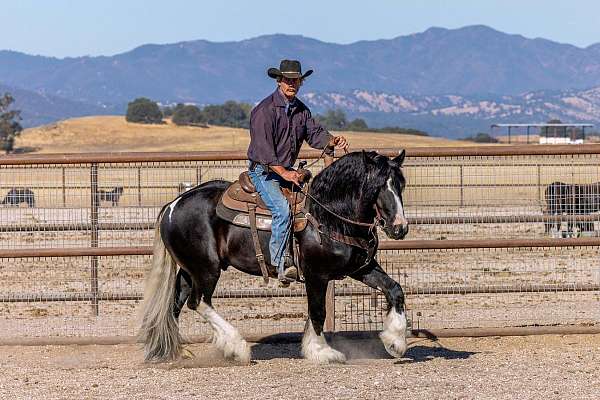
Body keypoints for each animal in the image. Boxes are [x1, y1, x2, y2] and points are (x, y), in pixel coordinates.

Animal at [140, 150, 410, 362]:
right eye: (377, 187)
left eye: (401, 185)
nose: (400, 228)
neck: (328, 215)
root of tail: (173, 205)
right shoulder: (317, 275)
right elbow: (318, 312)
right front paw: (322, 352)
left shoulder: (361, 268)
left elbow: (394, 289)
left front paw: (395, 342)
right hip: (207, 268)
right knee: (199, 302)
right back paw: (237, 347)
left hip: (189, 270)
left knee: (176, 303)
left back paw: (176, 351)